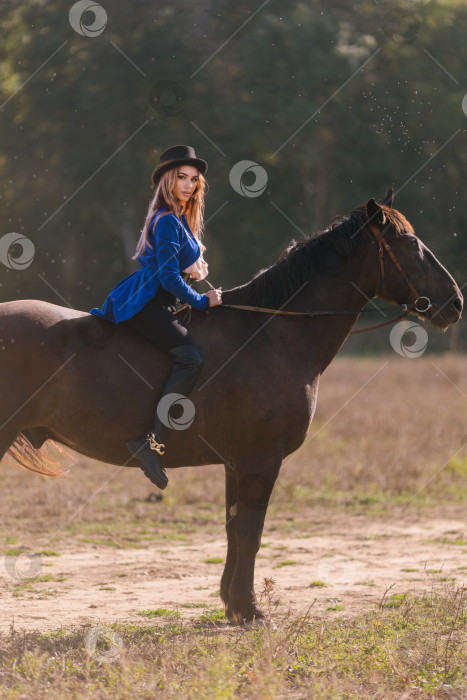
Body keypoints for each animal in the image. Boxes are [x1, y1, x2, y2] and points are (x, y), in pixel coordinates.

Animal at [0, 191, 462, 624]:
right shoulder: (261, 459)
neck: (271, 332)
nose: (455, 302)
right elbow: (250, 532)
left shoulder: (235, 462)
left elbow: (232, 529)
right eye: (409, 242)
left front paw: (231, 602)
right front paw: (249, 608)